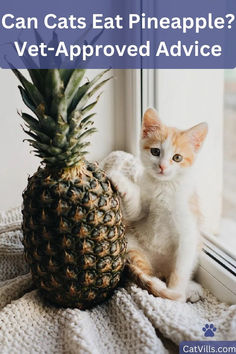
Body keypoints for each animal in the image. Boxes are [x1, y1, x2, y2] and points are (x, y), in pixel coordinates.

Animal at [102, 107, 207, 302]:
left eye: (177, 157)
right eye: (155, 152)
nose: (162, 167)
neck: (163, 187)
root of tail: (161, 269)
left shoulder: (188, 232)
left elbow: (181, 270)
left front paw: (176, 294)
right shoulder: (141, 209)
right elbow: (135, 209)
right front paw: (118, 178)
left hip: (194, 250)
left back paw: (188, 289)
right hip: (132, 244)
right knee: (145, 270)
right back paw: (156, 283)